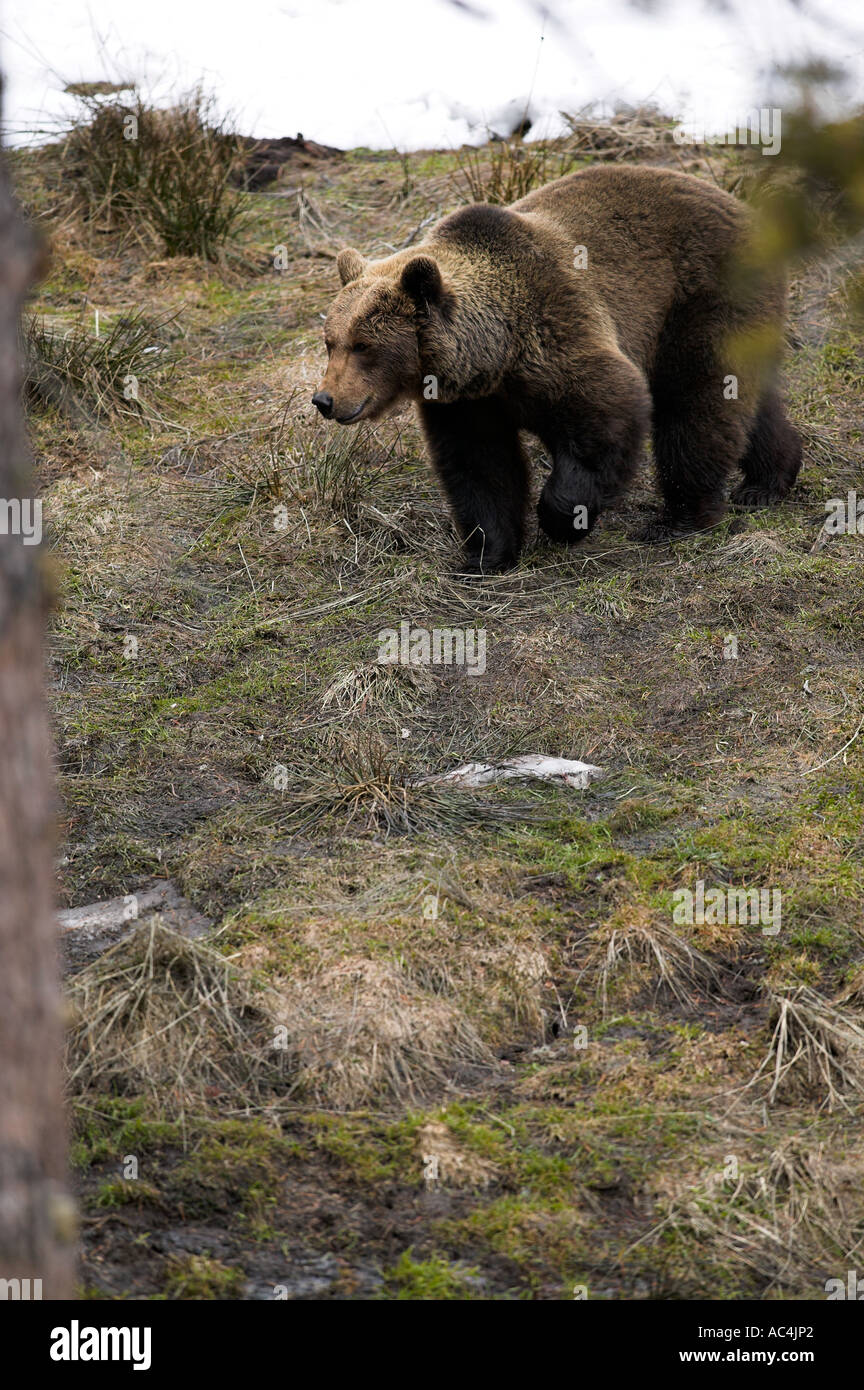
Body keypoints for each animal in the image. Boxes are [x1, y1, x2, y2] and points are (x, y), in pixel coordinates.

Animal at [312, 163, 801, 574]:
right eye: (330, 342)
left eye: (363, 345)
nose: (325, 400)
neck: (495, 354)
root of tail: (743, 209)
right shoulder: (468, 404)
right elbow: (480, 466)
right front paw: (486, 555)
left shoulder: (557, 334)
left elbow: (609, 413)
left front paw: (563, 520)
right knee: (745, 398)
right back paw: (766, 482)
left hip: (701, 295)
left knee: (697, 399)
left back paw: (681, 518)